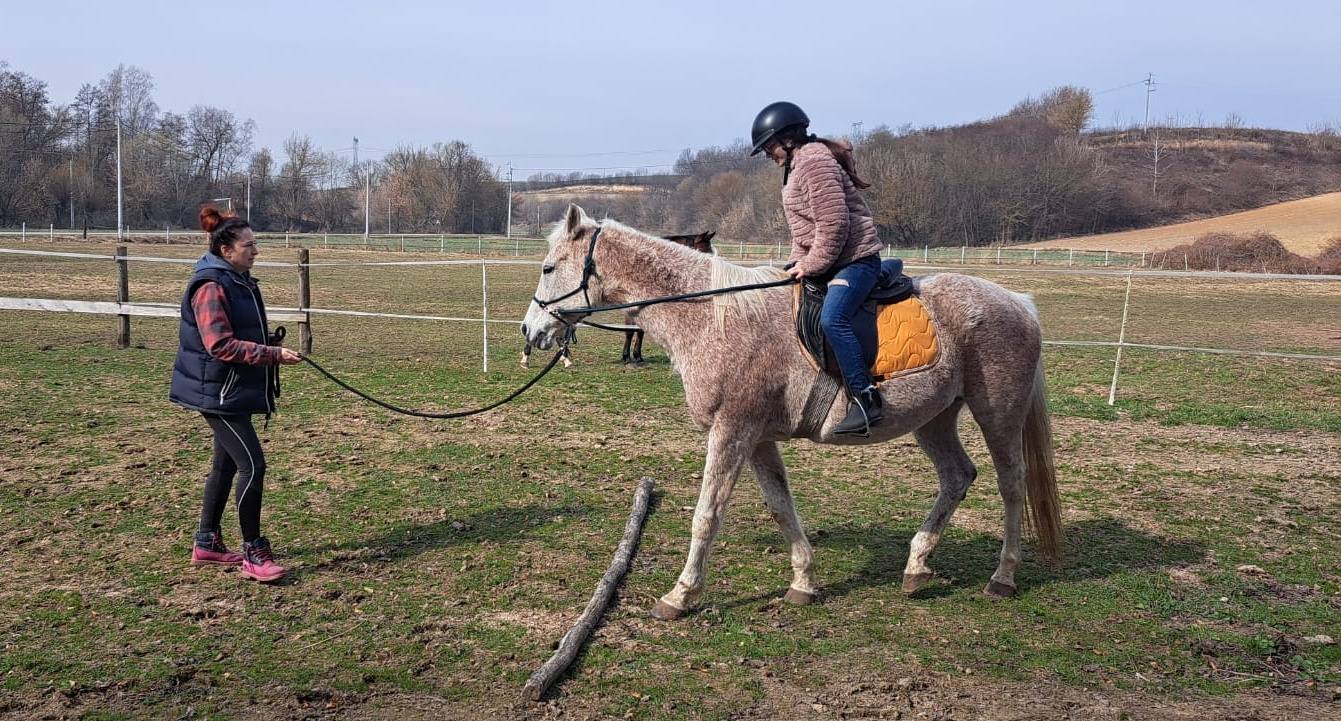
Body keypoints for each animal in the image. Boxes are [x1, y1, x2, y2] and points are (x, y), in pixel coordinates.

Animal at [519, 231, 716, 368]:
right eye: (706, 254)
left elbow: (639, 332)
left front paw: (637, 356)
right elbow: (630, 331)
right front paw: (628, 357)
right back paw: (529, 357)